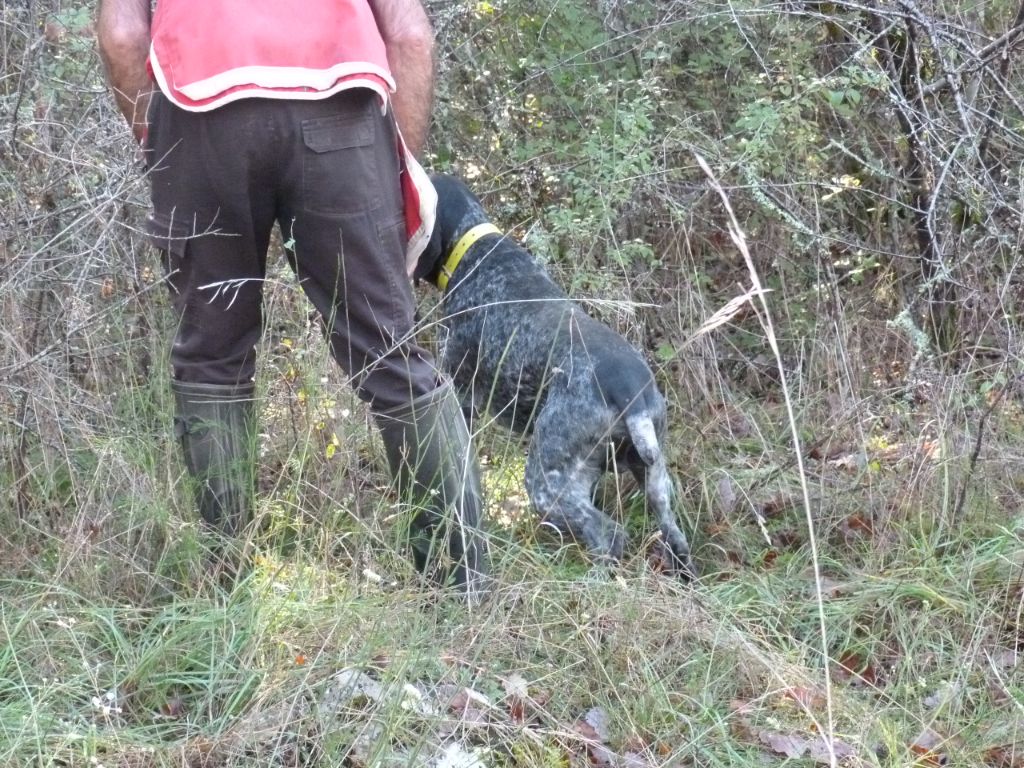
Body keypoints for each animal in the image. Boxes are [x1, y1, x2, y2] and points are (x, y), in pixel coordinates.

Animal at [415, 177, 696, 581]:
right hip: (654, 478)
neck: (478, 251)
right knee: (674, 535)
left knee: (608, 533)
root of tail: (632, 394)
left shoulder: (461, 391)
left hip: (546, 482)